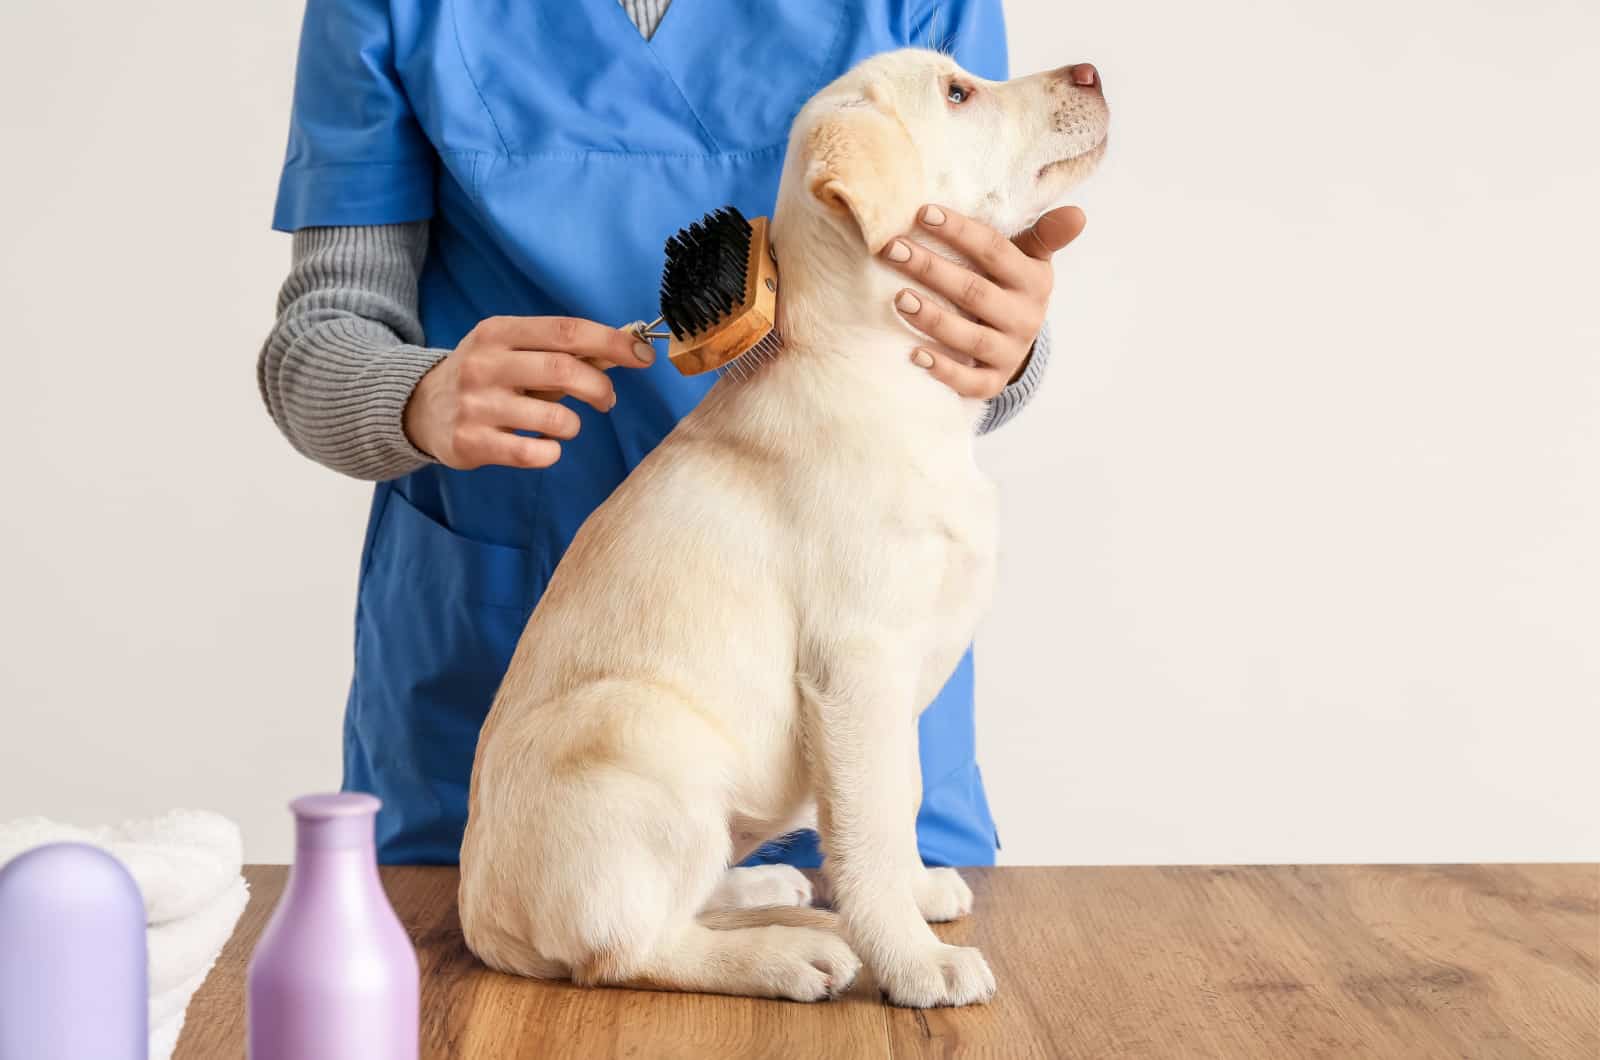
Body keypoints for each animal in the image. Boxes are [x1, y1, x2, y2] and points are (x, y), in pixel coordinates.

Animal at [464, 52, 1107, 1011]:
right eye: (959, 93)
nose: (1093, 72)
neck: (883, 372)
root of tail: (478, 918)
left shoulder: (891, 685)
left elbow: (897, 801)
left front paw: (916, 898)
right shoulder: (856, 664)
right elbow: (870, 829)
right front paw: (914, 961)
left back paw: (775, 897)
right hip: (647, 734)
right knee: (623, 947)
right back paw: (787, 954)